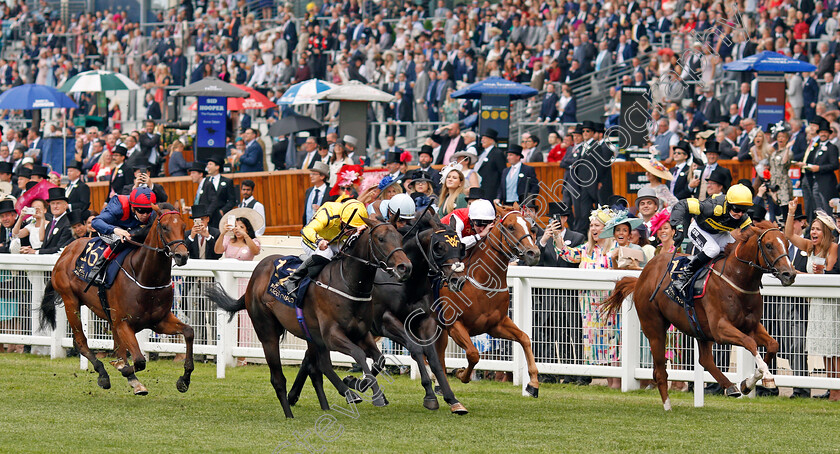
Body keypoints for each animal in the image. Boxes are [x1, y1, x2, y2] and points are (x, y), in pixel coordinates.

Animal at [39, 204, 190, 396]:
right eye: (164, 227)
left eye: (184, 226)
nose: (182, 255)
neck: (145, 276)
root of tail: (66, 250)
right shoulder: (124, 323)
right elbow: (139, 360)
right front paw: (122, 369)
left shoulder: (159, 321)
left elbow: (189, 332)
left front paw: (184, 380)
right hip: (70, 301)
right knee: (80, 342)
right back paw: (103, 374)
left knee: (116, 347)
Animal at [207, 216, 410, 418]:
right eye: (380, 239)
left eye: (400, 238)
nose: (405, 267)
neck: (349, 284)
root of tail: (253, 278)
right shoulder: (332, 335)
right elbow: (359, 354)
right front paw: (375, 395)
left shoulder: (361, 334)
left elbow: (380, 359)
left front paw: (356, 383)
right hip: (268, 333)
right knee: (279, 378)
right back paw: (290, 414)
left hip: (311, 335)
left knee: (319, 367)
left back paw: (336, 400)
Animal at [430, 204, 540, 396]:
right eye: (511, 227)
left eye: (530, 226)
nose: (533, 253)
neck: (482, 282)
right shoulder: (455, 325)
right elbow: (473, 353)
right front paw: (461, 373)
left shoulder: (496, 325)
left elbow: (525, 338)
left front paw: (532, 384)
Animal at [604, 221, 796, 412]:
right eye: (769, 245)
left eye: (787, 243)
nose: (790, 274)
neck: (736, 279)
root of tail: (642, 276)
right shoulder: (720, 329)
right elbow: (750, 343)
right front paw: (767, 377)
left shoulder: (751, 326)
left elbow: (773, 345)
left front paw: (748, 383)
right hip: (654, 328)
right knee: (660, 372)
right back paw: (668, 406)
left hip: (699, 328)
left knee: (705, 359)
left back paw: (730, 386)